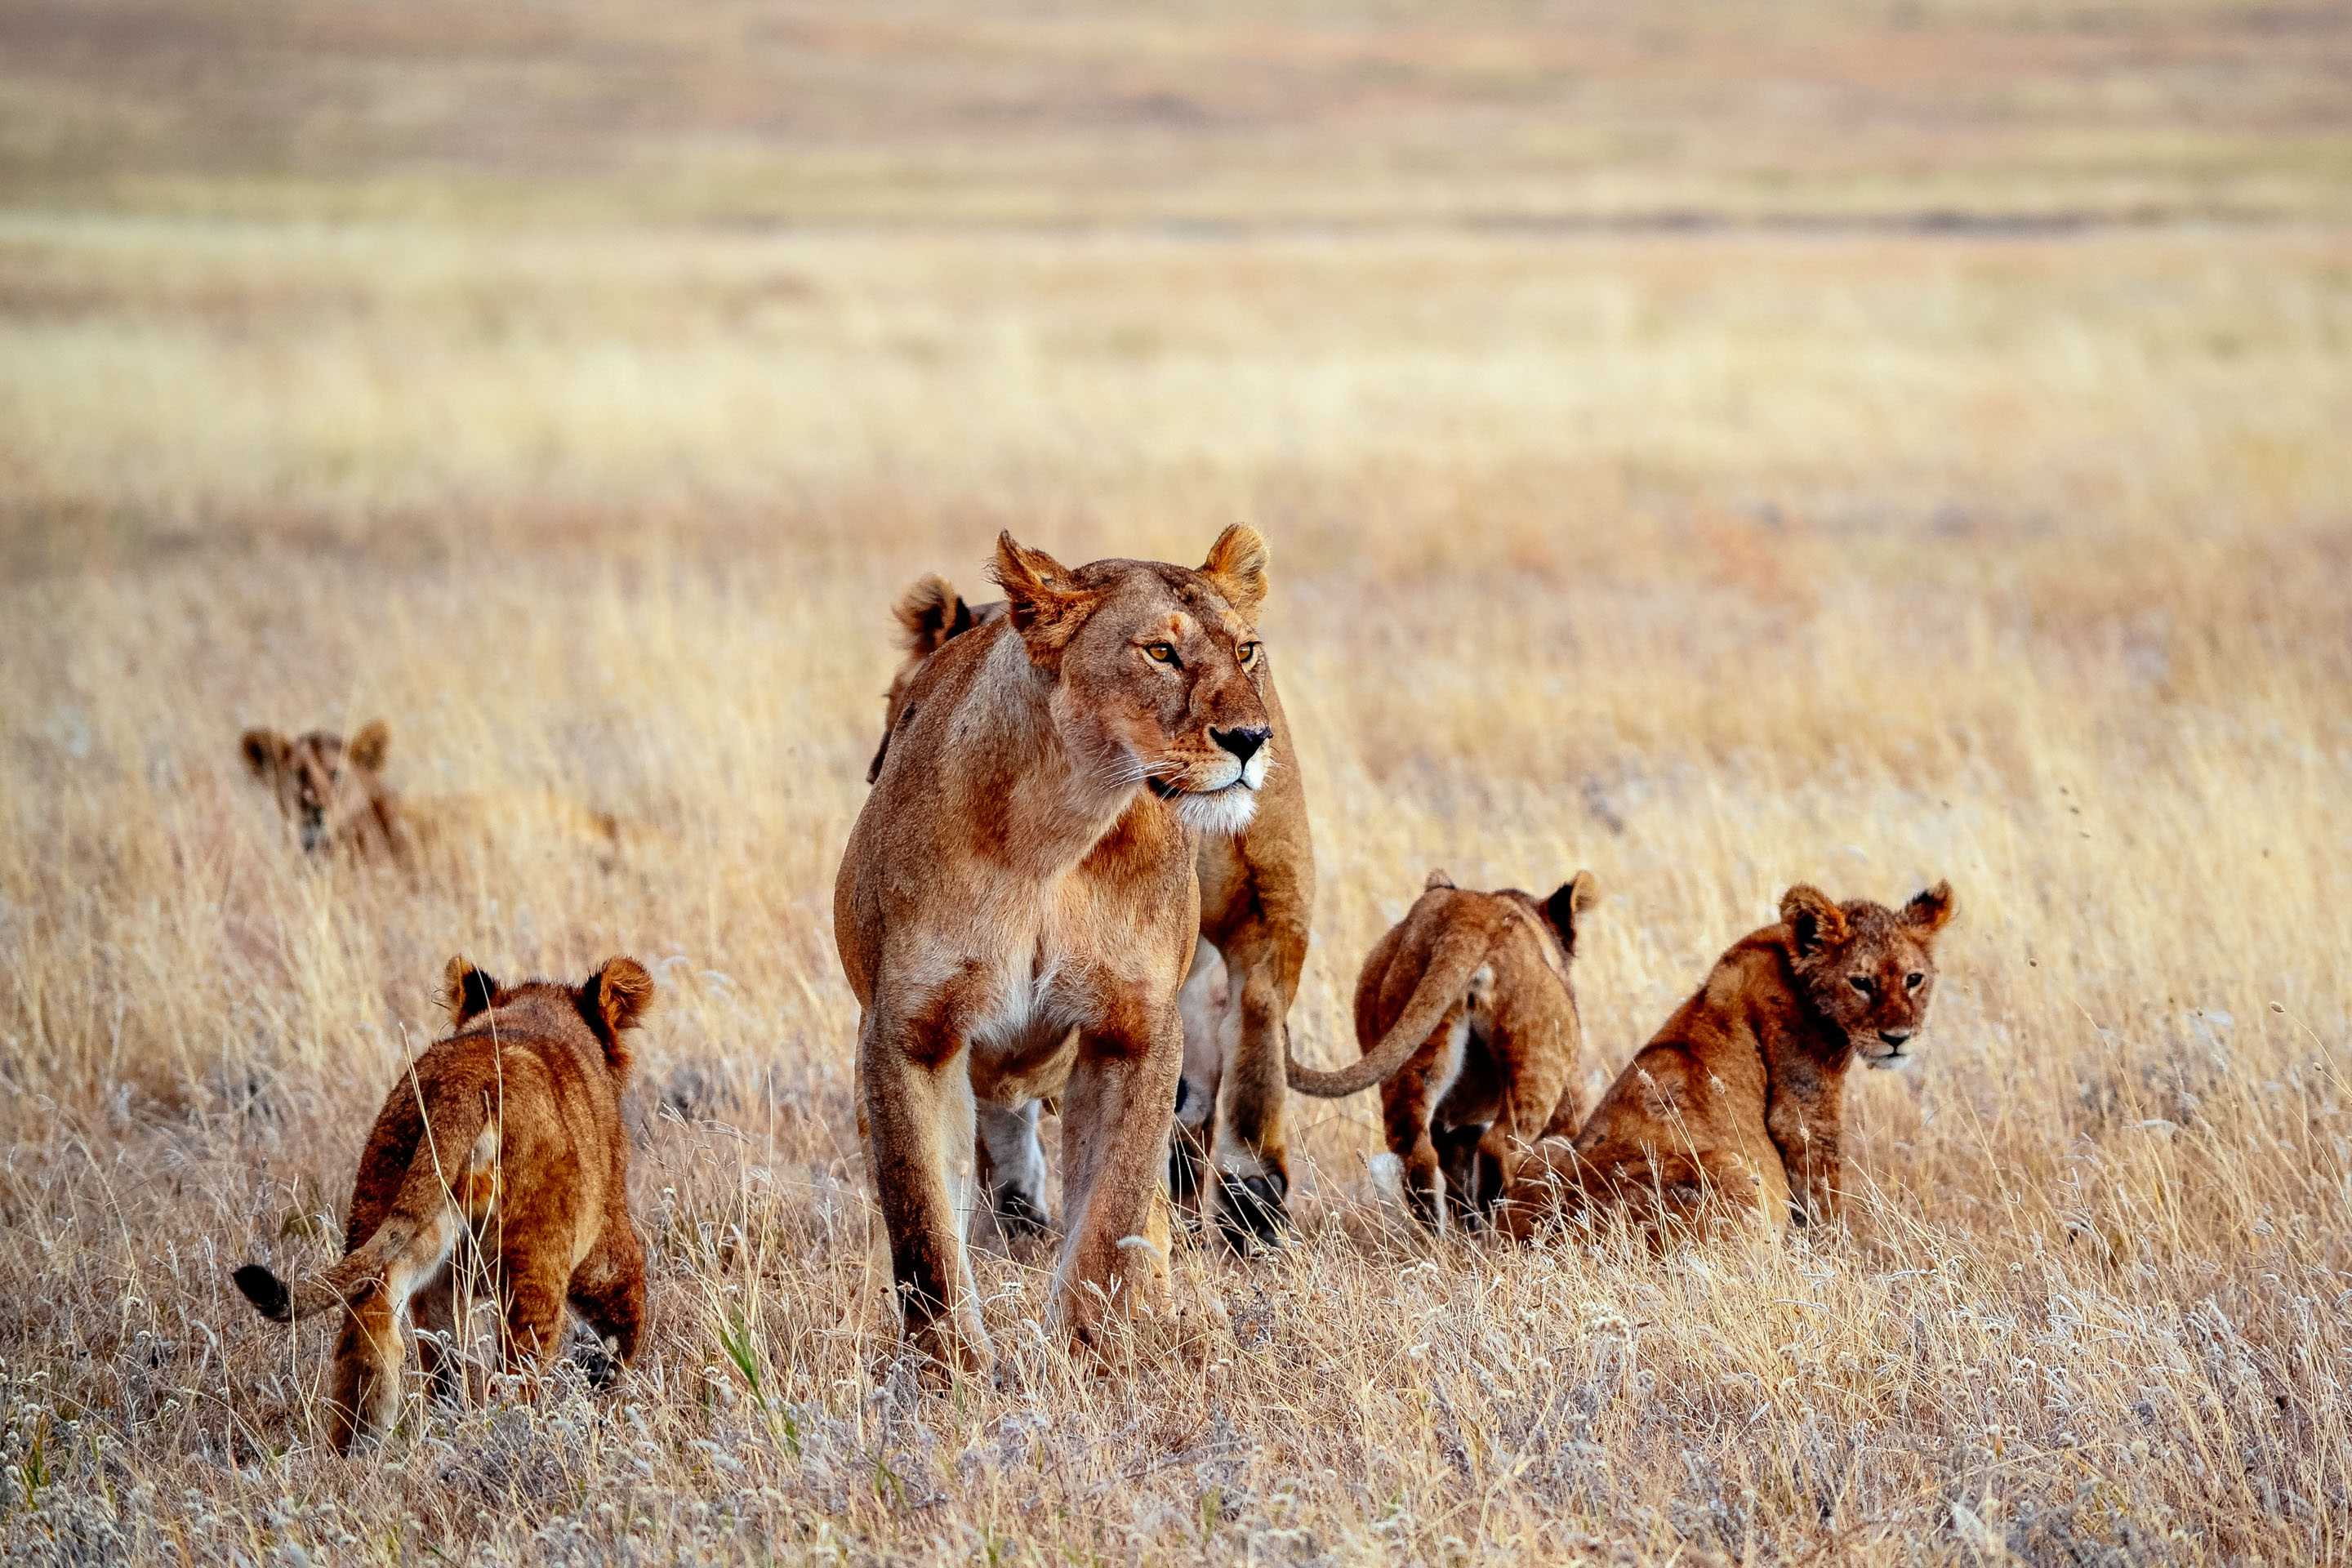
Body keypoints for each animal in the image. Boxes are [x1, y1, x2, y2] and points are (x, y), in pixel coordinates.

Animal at [231, 956, 653, 1453]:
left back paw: (361, 1449)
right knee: (517, 1369)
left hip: (394, 1210)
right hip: (535, 1255)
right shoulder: (605, 1235)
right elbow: (620, 1321)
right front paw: (606, 1397)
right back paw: (516, 1439)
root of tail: (464, 1082)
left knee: (383, 1332)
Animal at [837, 526, 1276, 1369]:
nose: (1251, 739)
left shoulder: (1134, 1031)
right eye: (1160, 653)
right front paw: (952, 1372)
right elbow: (921, 1224)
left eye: (1247, 650)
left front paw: (1083, 1353)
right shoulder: (908, 1032)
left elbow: (1111, 1216)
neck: (1057, 828)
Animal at [1316, 869, 1599, 1235]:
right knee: (1499, 1146)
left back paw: (1444, 1238)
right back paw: (1497, 1231)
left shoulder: (1458, 1123)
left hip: (1415, 1056)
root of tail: (1463, 921)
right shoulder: (1570, 1096)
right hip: (1540, 1064)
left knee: (1417, 1154)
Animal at [1499, 881, 1956, 1244]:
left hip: (1545, 1149)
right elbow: (1822, 1196)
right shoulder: (1802, 1110)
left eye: (1914, 979)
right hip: (1733, 1168)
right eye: (1861, 983)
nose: (1898, 1038)